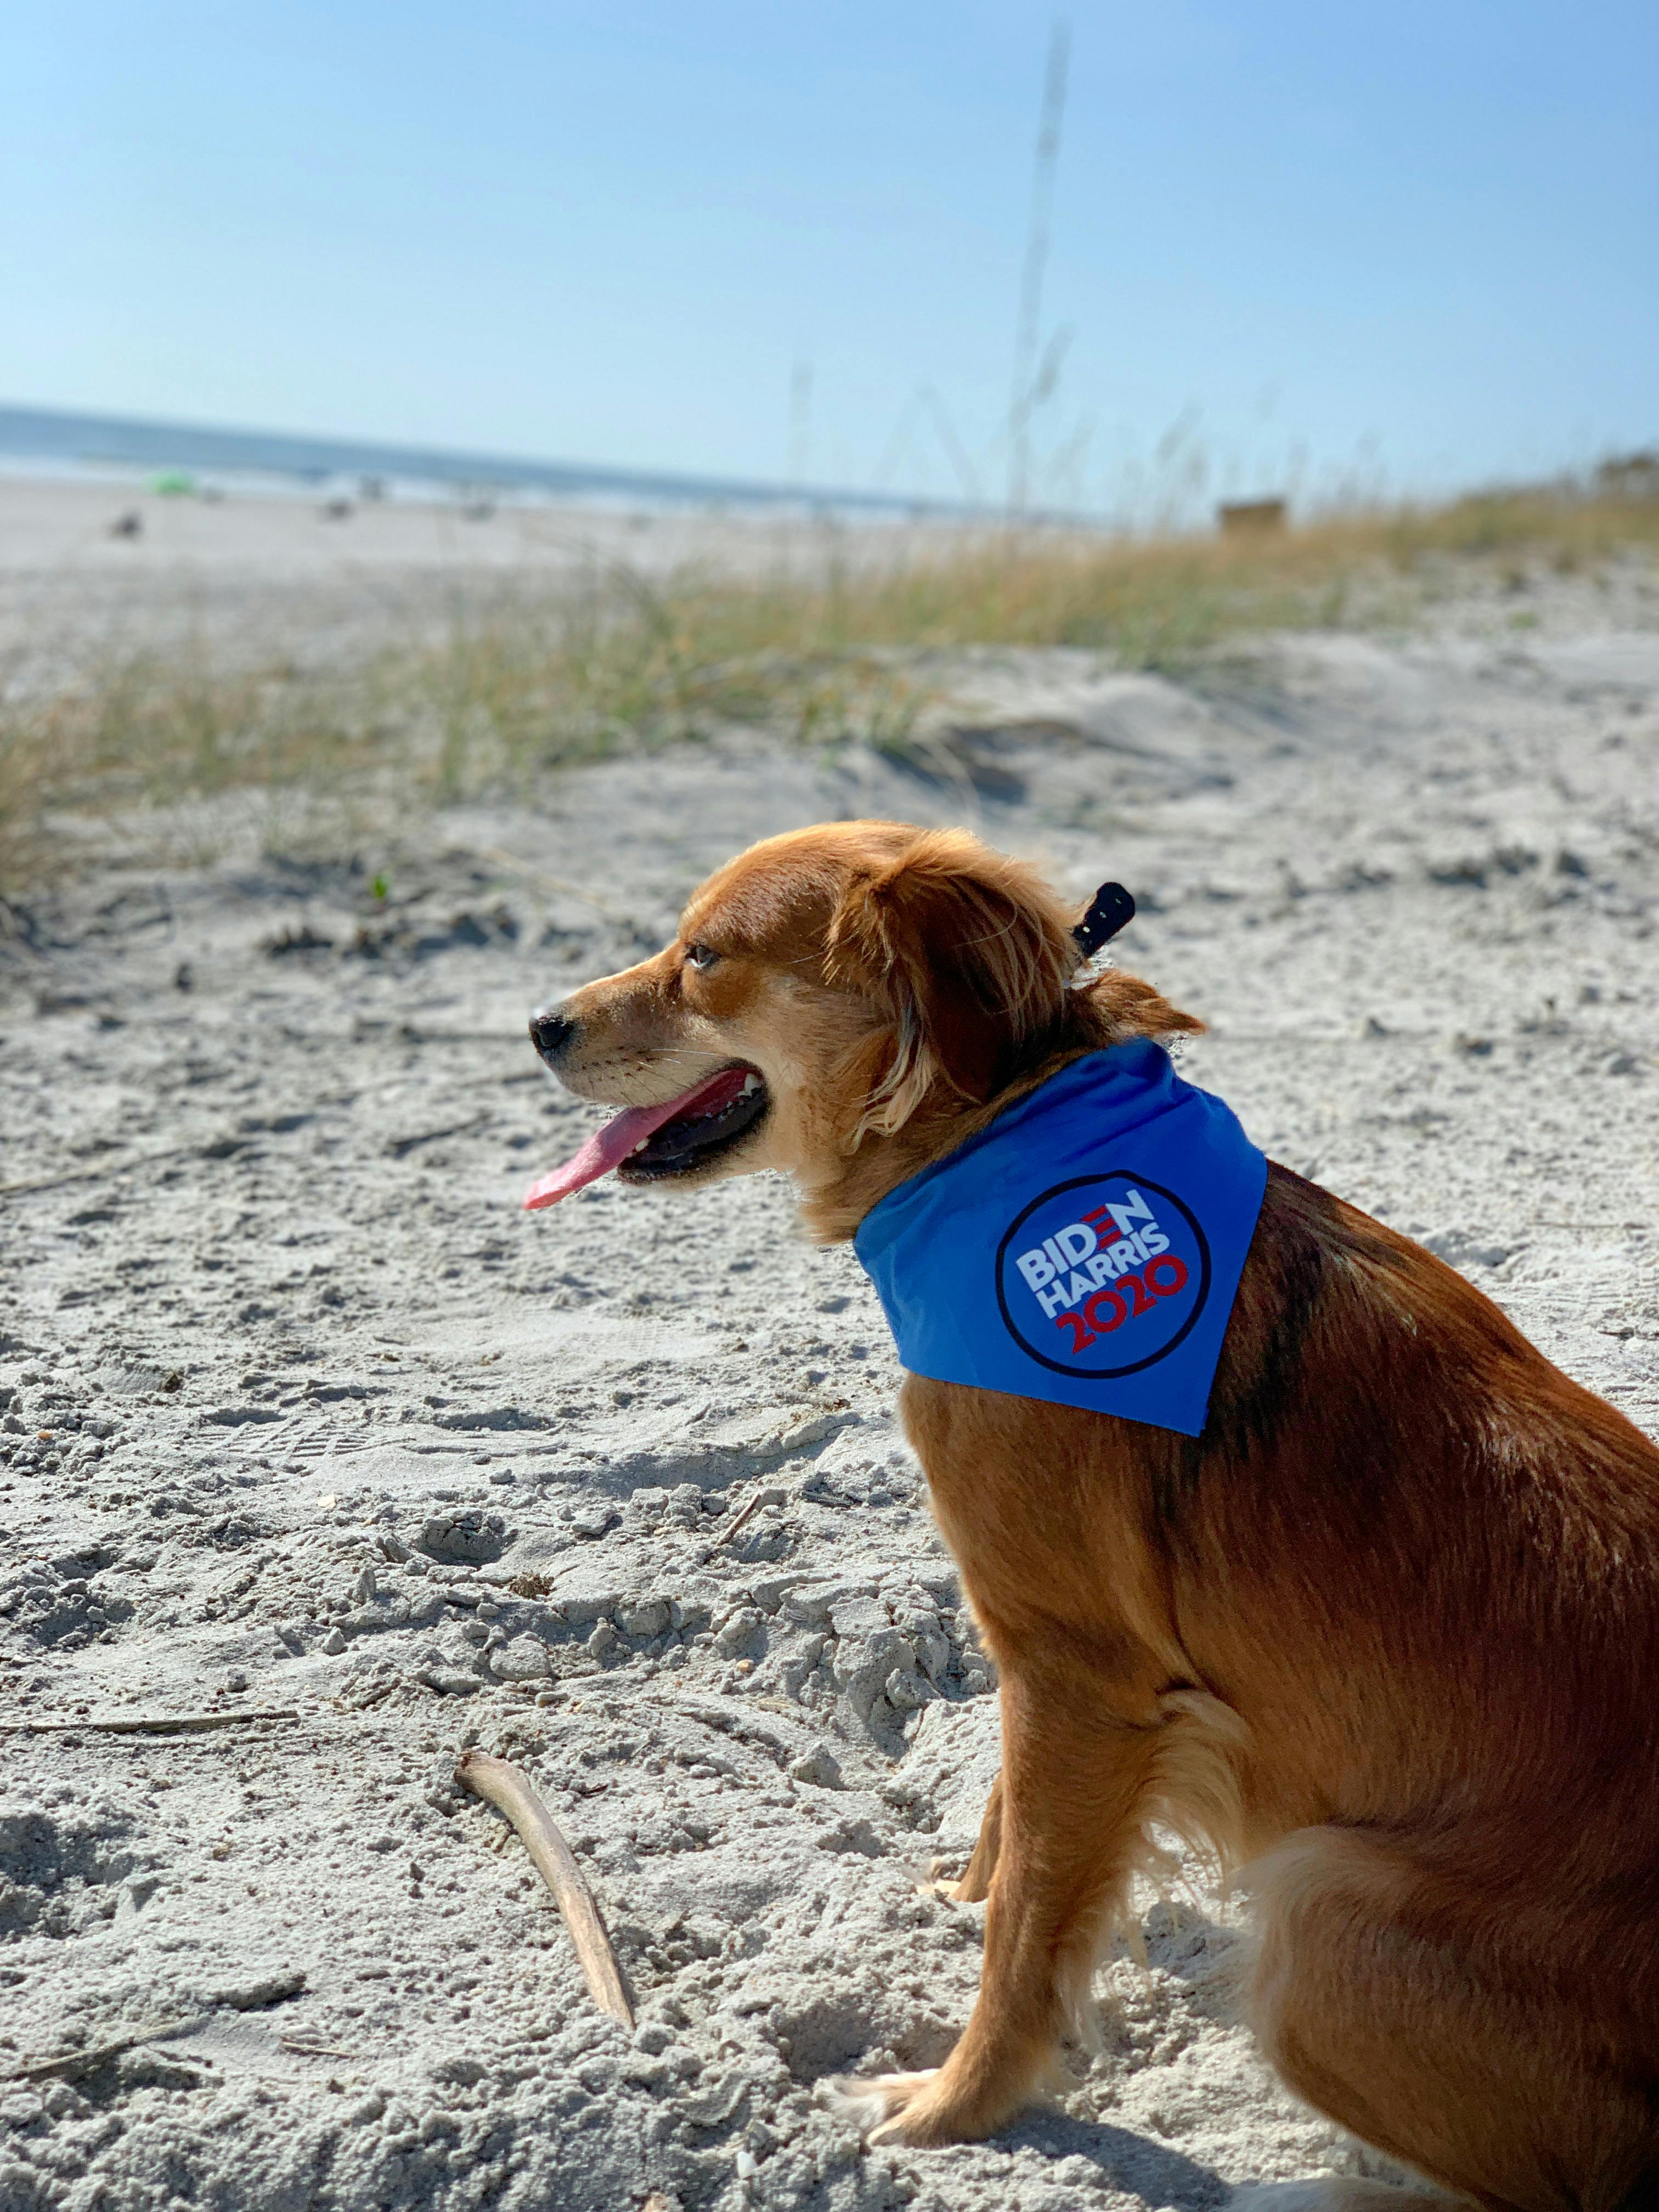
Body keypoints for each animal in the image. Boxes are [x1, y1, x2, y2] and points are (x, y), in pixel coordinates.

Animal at [522, 818, 1659, 2212]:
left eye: (704, 958)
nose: (540, 1025)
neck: (995, 1133)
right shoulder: (1047, 1664)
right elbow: (1015, 1839)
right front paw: (962, 1896)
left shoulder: (1079, 1671)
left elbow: (1031, 1934)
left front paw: (956, 2108)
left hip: (1322, 1918)